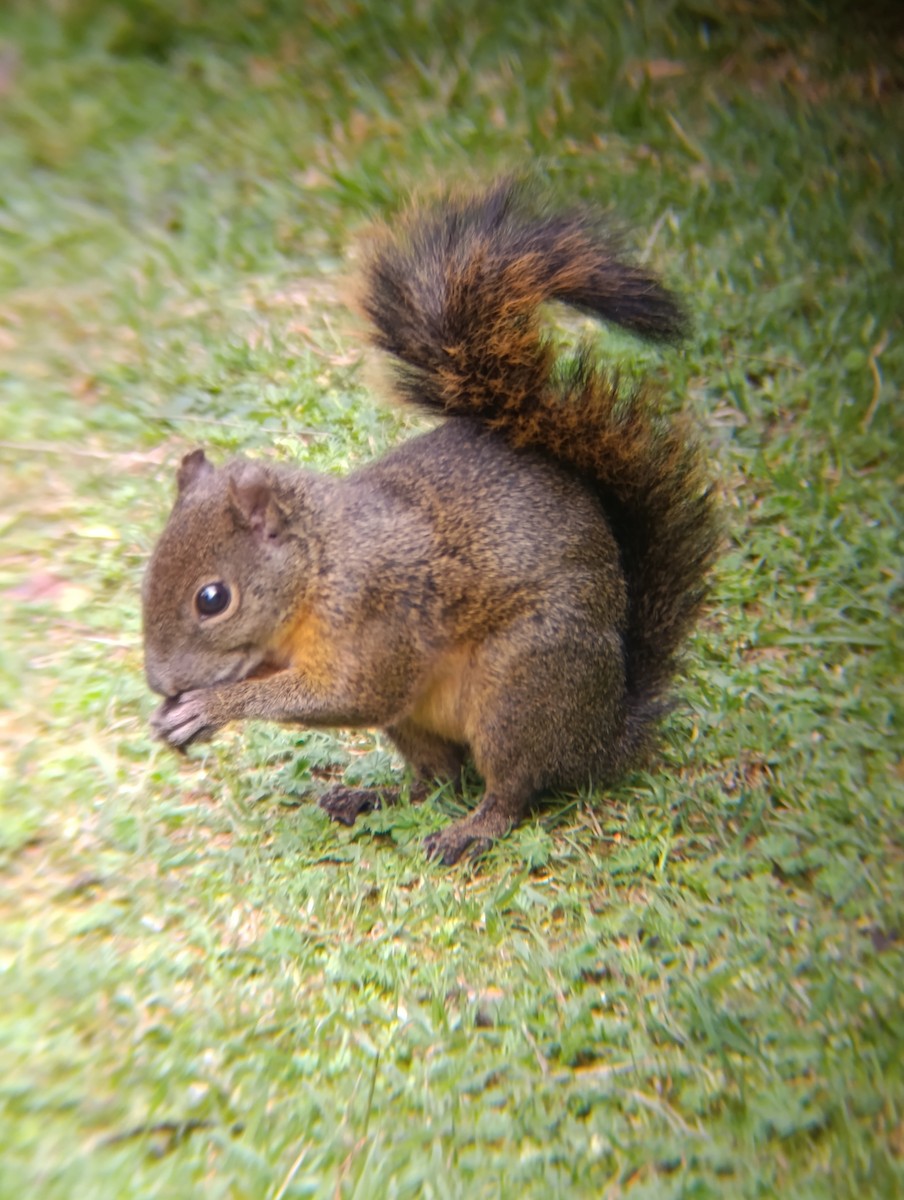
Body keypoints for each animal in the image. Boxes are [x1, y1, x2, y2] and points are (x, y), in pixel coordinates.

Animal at [143, 181, 719, 865]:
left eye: (213, 599)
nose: (158, 682)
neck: (320, 560)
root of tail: (607, 735)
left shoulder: (377, 615)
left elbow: (351, 694)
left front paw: (211, 706)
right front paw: (177, 715)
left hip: (520, 690)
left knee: (512, 789)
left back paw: (470, 830)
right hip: (421, 722)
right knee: (436, 780)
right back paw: (371, 798)